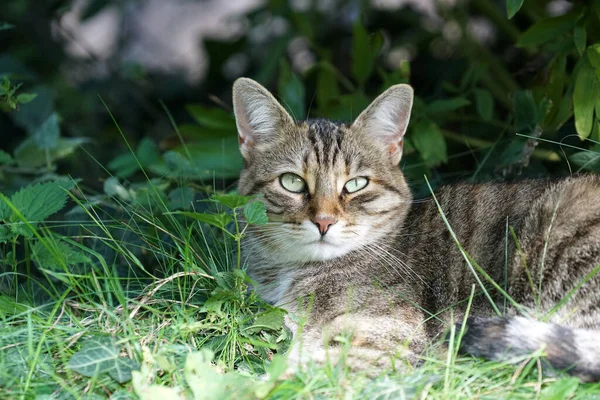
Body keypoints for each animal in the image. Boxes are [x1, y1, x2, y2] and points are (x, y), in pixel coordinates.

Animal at [231, 76, 600, 380]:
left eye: (356, 184)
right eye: (292, 182)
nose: (324, 221)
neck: (290, 272)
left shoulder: (386, 338)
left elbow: (303, 373)